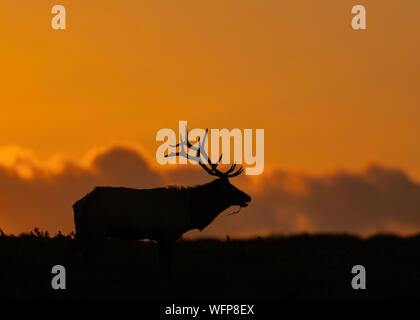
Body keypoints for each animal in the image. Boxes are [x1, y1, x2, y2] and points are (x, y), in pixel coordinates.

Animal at [72, 130, 251, 280]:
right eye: (229, 187)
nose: (248, 197)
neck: (189, 210)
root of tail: (80, 203)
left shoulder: (160, 236)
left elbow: (161, 265)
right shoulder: (167, 233)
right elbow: (167, 265)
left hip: (84, 231)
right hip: (97, 230)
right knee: (86, 256)